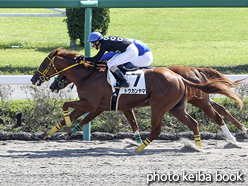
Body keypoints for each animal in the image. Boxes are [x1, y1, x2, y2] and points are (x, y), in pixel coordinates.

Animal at [30, 48, 242, 152]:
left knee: (213, 117)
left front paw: (66, 130)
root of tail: (181, 76)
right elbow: (130, 123)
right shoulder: (106, 106)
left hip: (166, 105)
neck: (88, 74)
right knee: (198, 121)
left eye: (44, 63)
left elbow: (68, 108)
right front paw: (49, 134)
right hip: (177, 107)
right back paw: (199, 146)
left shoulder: (91, 103)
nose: (34, 79)